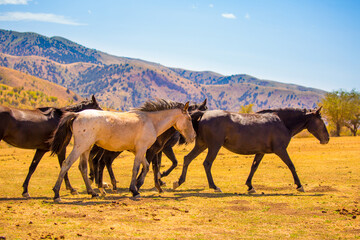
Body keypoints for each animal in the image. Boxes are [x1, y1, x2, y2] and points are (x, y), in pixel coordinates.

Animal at [49, 98, 197, 202]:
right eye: (189, 118)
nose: (193, 136)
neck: (151, 121)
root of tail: (77, 115)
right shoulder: (142, 149)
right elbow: (137, 168)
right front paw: (135, 190)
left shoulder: (139, 151)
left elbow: (146, 166)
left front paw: (137, 186)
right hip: (80, 146)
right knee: (66, 164)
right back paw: (57, 194)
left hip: (86, 148)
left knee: (83, 168)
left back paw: (93, 193)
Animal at [174, 107, 330, 193]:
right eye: (321, 121)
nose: (327, 139)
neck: (282, 122)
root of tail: (204, 114)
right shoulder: (280, 150)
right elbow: (291, 165)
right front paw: (299, 185)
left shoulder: (260, 152)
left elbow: (254, 167)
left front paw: (250, 186)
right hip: (214, 146)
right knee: (207, 164)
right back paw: (214, 186)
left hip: (202, 145)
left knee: (187, 159)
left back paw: (179, 182)